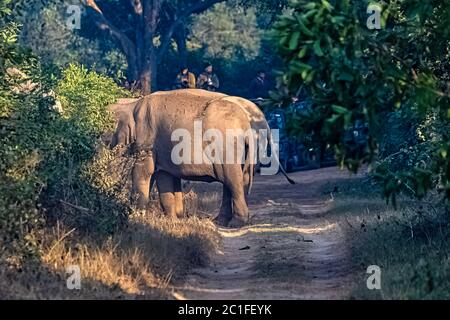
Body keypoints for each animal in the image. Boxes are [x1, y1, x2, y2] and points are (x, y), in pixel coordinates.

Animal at [108, 89, 292, 226]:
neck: (131, 104)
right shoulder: (162, 147)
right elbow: (166, 177)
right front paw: (177, 219)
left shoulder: (147, 141)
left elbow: (145, 173)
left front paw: (136, 218)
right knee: (238, 178)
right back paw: (221, 222)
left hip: (227, 146)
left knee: (232, 178)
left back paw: (236, 223)